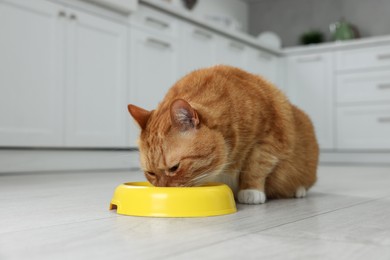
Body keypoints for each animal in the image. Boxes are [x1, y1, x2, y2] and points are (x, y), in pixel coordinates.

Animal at [129, 65, 318, 205]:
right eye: (150, 173)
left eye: (174, 168)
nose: (164, 189)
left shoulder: (270, 139)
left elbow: (255, 166)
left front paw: (251, 191)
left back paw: (298, 190)